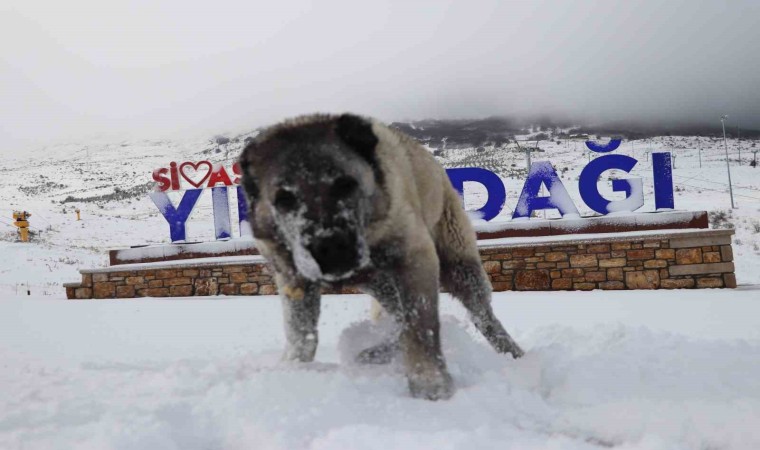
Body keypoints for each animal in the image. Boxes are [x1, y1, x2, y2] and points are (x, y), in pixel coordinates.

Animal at [239, 113, 524, 400]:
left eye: (346, 184)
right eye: (283, 199)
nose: (332, 249)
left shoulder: (414, 259)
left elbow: (419, 326)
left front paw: (430, 386)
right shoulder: (294, 279)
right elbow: (301, 335)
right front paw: (294, 370)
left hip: (460, 267)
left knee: (483, 316)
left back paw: (513, 353)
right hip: (381, 284)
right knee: (396, 320)